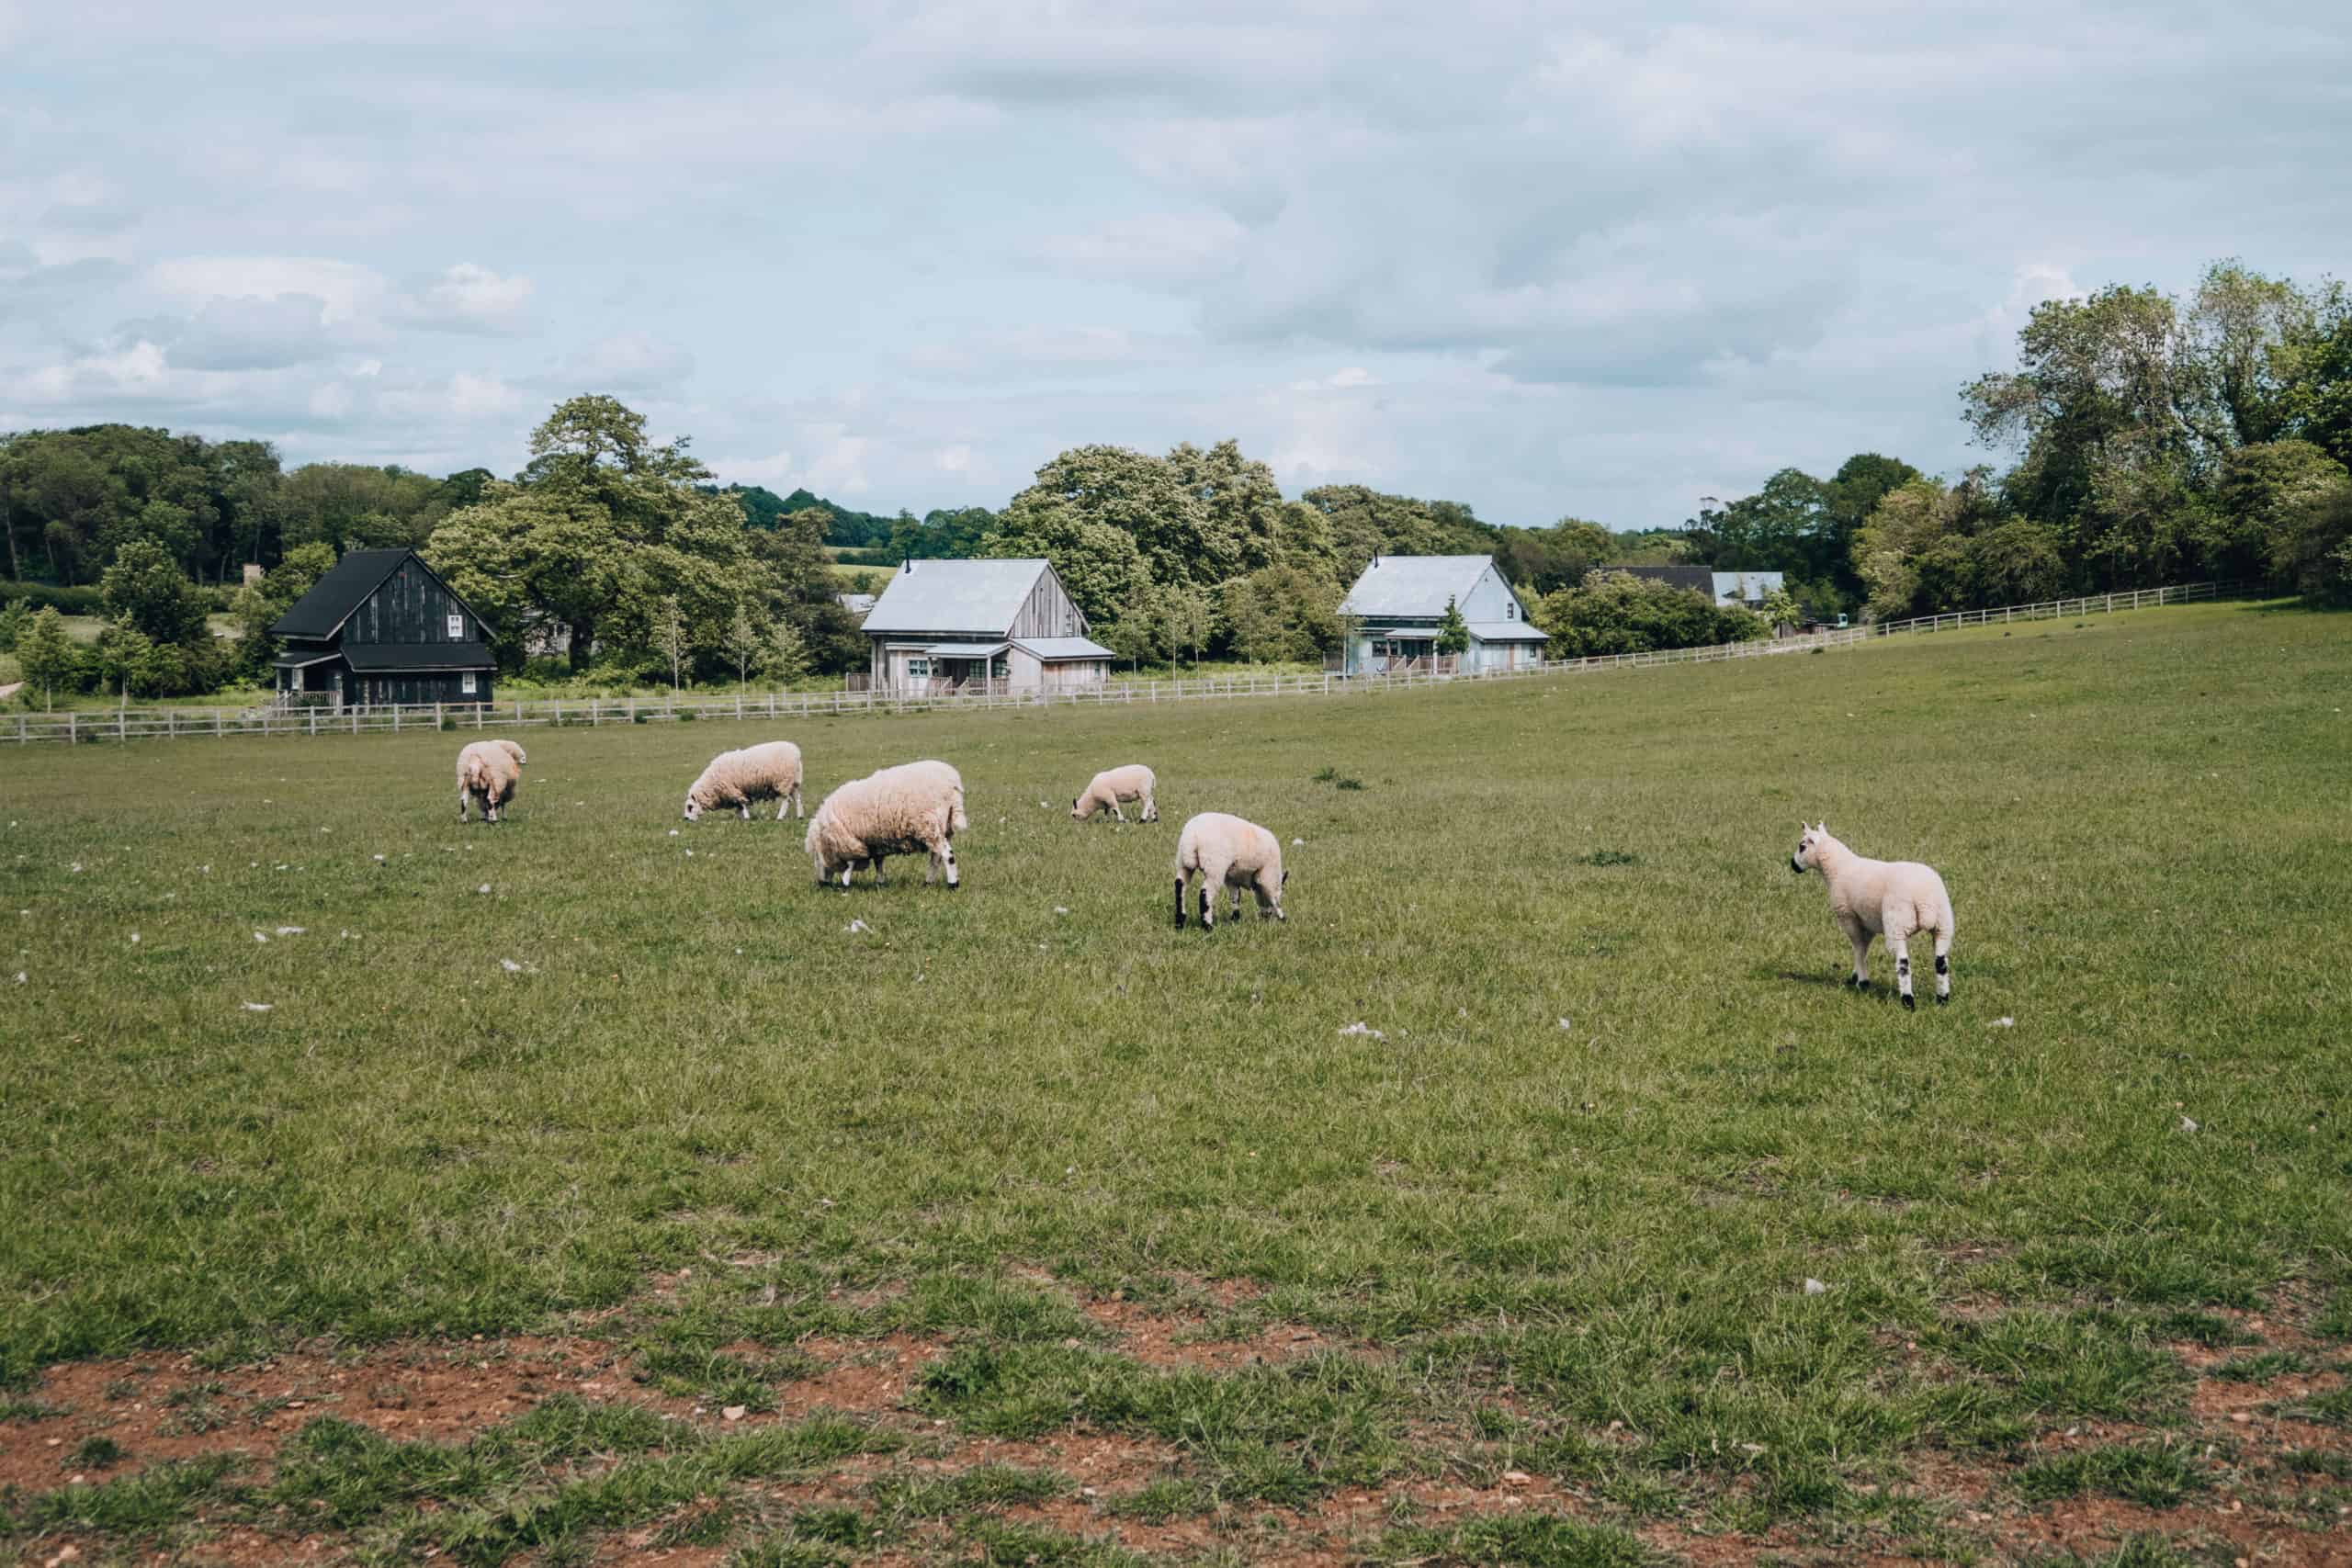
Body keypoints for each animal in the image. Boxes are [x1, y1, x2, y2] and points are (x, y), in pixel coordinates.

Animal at [682, 747, 808, 827]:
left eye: (690, 807)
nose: (686, 819)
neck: (711, 784)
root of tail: (796, 752)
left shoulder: (733, 789)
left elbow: (742, 803)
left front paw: (746, 818)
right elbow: (739, 806)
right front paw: (740, 817)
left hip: (784, 781)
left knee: (786, 800)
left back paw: (780, 817)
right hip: (793, 782)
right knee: (797, 799)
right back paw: (800, 816)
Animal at [799, 761, 964, 888]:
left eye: (817, 857)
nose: (821, 884)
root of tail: (953, 782)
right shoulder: (876, 840)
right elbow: (878, 862)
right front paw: (880, 883)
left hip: (929, 825)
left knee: (947, 854)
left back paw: (953, 884)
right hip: (944, 827)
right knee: (936, 857)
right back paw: (928, 882)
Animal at [1176, 808, 1288, 931]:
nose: (1266, 916)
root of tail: (1192, 836)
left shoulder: (1232, 877)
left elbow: (1235, 897)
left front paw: (1235, 919)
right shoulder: (1267, 875)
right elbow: (1273, 898)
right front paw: (1282, 916)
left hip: (1183, 863)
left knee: (1180, 886)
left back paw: (1180, 922)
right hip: (1215, 867)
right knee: (1205, 894)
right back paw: (1208, 926)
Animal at [1787, 827, 1956, 1010]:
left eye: (1802, 847)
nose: (1793, 864)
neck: (1838, 868)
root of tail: (1924, 899)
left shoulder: (1848, 916)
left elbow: (1858, 948)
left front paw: (1862, 982)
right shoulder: (1868, 921)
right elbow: (1863, 948)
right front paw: (1856, 977)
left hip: (1896, 923)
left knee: (1903, 964)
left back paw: (1908, 1001)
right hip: (1943, 924)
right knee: (1941, 963)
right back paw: (1942, 999)